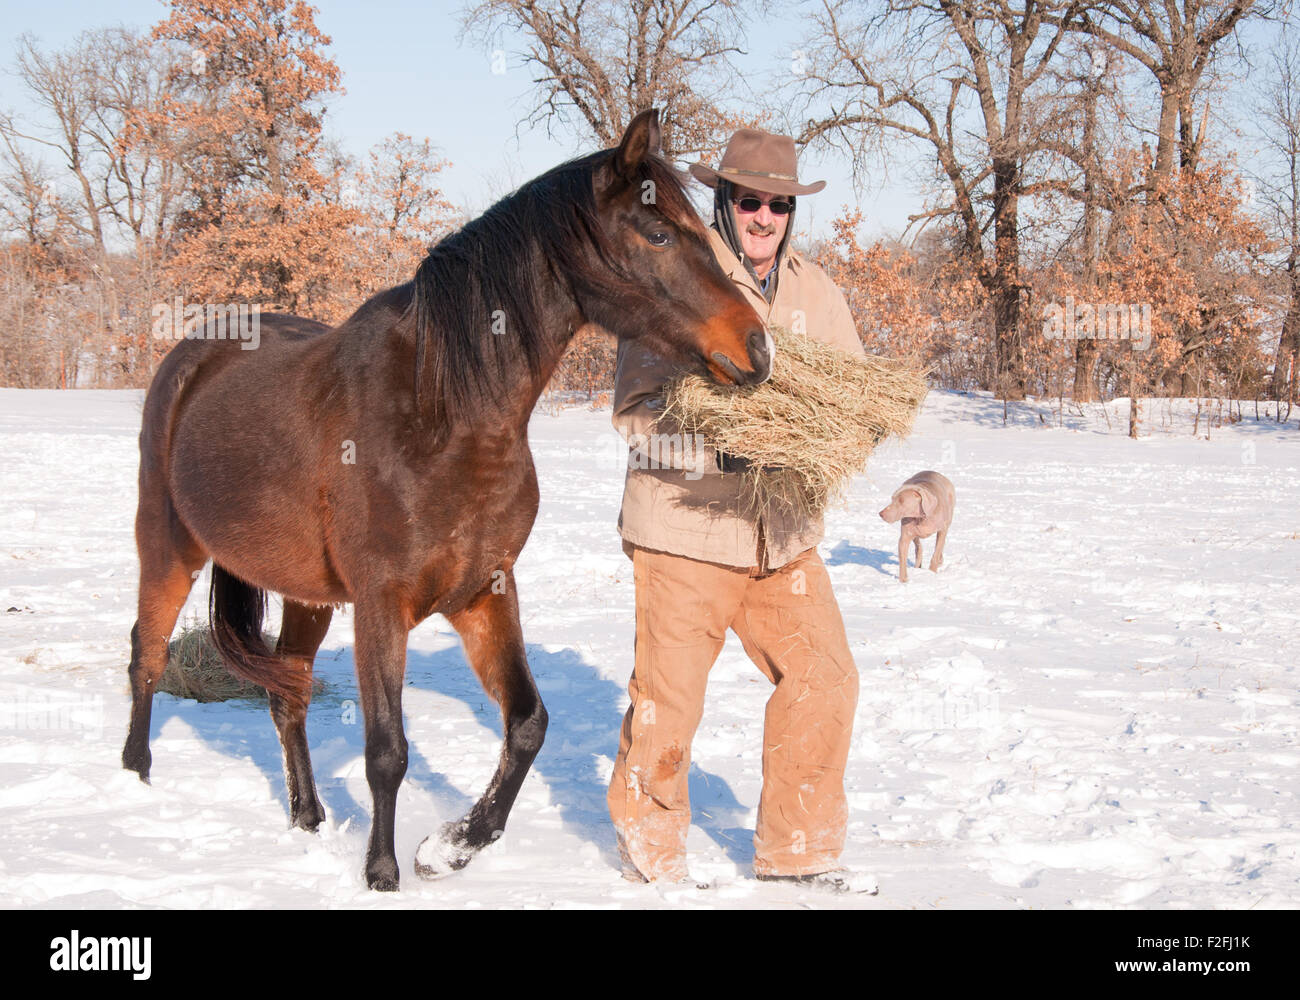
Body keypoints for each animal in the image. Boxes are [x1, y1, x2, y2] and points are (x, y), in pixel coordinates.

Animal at [120, 110, 771, 891]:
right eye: (658, 234)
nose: (758, 348)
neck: (444, 414)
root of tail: (191, 356)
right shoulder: (382, 605)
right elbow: (386, 750)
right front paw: (381, 873)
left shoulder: (482, 593)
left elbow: (528, 724)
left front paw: (453, 844)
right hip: (168, 546)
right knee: (147, 654)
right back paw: (134, 782)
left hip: (307, 595)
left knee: (287, 691)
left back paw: (307, 816)